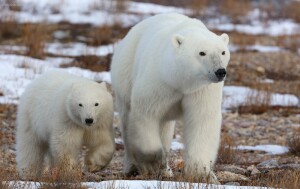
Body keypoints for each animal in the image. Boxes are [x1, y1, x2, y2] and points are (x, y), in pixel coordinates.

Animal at [110, 12, 230, 183]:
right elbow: (146, 113)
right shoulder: (159, 81)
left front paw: (202, 174)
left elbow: (202, 120)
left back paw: (166, 170)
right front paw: (153, 162)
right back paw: (133, 167)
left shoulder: (202, 89)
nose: (220, 71)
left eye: (223, 52)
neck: (181, 81)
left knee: (165, 127)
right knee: (127, 121)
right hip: (125, 75)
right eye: (202, 52)